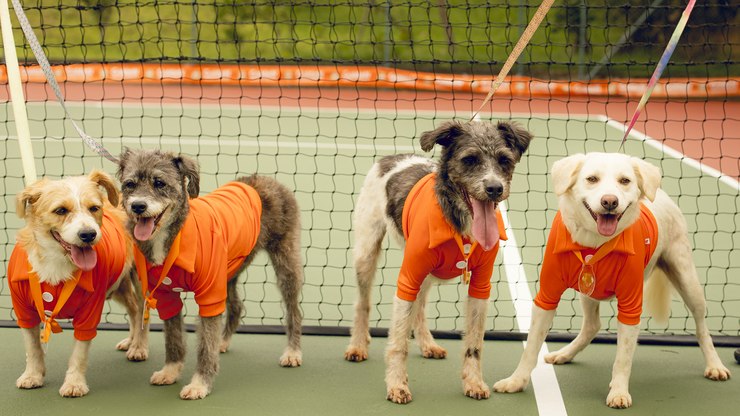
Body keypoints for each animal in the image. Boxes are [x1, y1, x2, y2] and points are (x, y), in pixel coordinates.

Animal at [9, 171, 149, 396]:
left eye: (94, 208)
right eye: (60, 210)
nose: (88, 235)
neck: (57, 262)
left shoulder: (89, 312)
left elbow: (79, 354)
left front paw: (74, 383)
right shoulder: (24, 312)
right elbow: (33, 348)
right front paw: (33, 375)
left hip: (140, 279)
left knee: (143, 311)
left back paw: (139, 347)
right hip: (118, 286)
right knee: (135, 310)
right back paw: (131, 341)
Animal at [117, 149, 302, 400]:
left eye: (159, 183)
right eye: (130, 184)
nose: (138, 206)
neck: (175, 236)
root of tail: (268, 180)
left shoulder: (209, 294)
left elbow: (205, 344)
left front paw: (199, 384)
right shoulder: (166, 297)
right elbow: (174, 338)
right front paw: (170, 371)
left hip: (286, 264)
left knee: (294, 310)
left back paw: (293, 351)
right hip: (230, 270)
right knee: (236, 306)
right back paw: (222, 341)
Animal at [344, 120, 536, 404]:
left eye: (504, 160)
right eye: (470, 159)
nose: (494, 189)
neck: (460, 223)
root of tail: (391, 159)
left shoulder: (480, 286)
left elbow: (474, 344)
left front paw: (473, 382)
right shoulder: (408, 278)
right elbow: (398, 342)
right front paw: (397, 385)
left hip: (428, 274)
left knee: (420, 308)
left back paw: (427, 344)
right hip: (367, 252)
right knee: (363, 303)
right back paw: (357, 345)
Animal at [494, 152, 732, 406]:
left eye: (624, 181)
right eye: (591, 179)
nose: (610, 201)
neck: (595, 242)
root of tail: (660, 194)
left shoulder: (631, 304)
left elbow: (623, 357)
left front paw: (618, 391)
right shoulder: (547, 297)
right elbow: (530, 348)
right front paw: (516, 381)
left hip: (687, 280)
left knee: (701, 328)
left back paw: (714, 364)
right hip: (587, 291)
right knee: (592, 326)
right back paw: (565, 354)